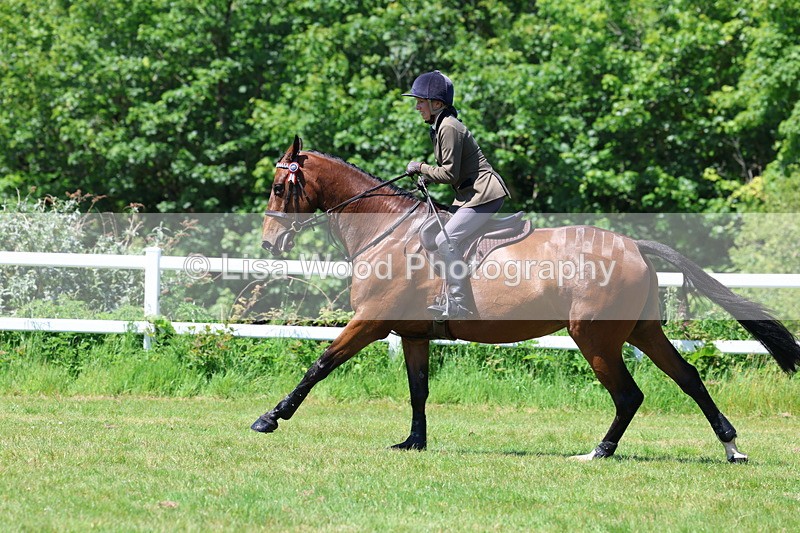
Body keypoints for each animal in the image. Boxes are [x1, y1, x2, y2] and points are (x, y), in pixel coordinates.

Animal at [251, 136, 800, 462]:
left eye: (279, 186)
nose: (269, 244)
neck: (384, 230)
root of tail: (632, 245)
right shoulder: (412, 334)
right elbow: (417, 390)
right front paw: (414, 442)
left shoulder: (370, 321)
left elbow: (320, 364)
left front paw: (270, 418)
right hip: (642, 330)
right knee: (688, 378)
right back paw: (731, 447)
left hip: (595, 337)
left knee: (629, 394)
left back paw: (599, 452)